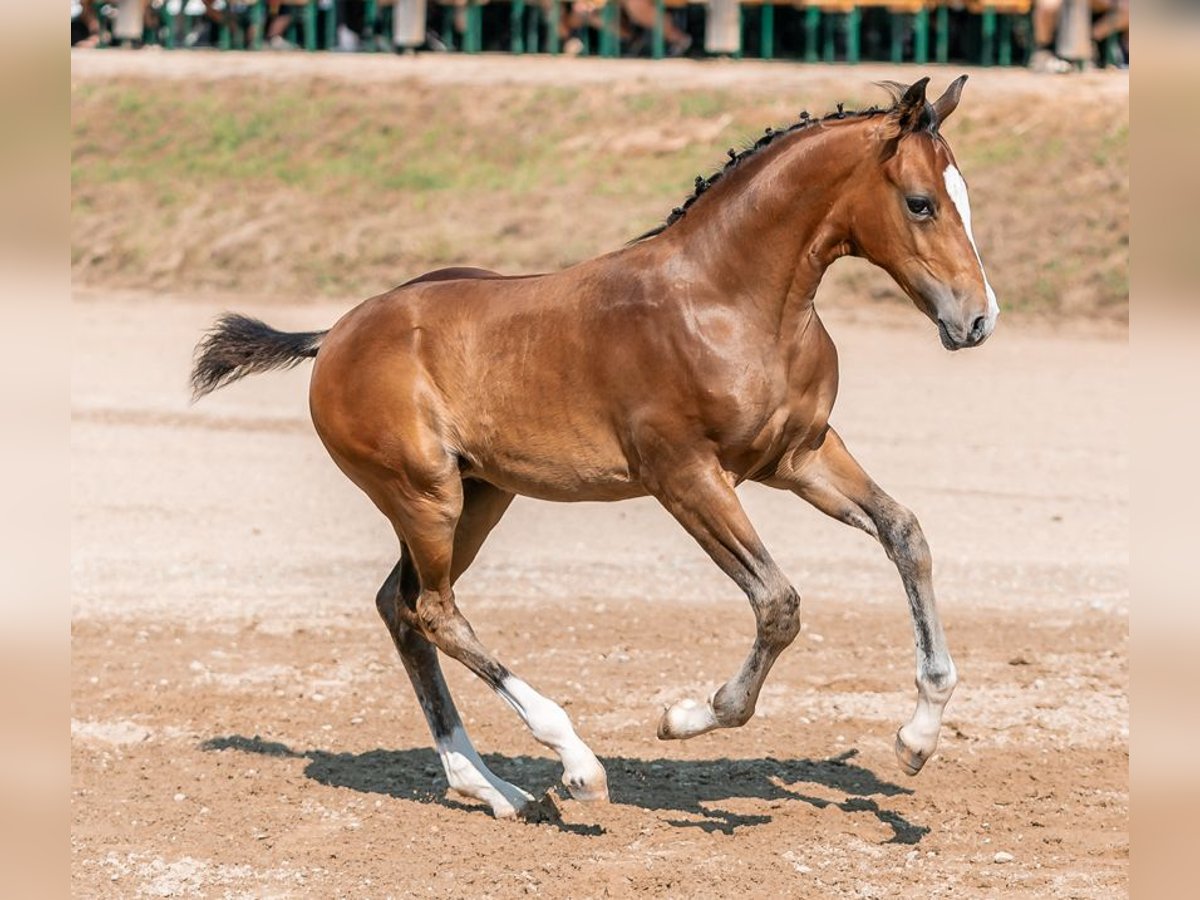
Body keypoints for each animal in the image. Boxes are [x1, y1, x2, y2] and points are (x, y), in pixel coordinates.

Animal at [194, 79, 1003, 825]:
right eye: (921, 203)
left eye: (964, 196)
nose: (978, 320)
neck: (731, 302)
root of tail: (335, 334)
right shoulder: (685, 476)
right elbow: (778, 605)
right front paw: (686, 716)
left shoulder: (798, 457)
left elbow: (905, 535)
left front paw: (917, 739)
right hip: (425, 495)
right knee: (435, 612)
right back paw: (575, 766)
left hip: (480, 496)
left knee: (401, 607)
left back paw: (492, 789)